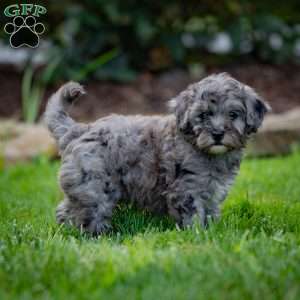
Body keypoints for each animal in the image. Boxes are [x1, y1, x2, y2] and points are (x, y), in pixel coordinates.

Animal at [45, 72, 272, 234]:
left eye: (233, 114)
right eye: (203, 115)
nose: (217, 134)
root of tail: (78, 130)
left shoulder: (212, 192)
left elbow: (210, 212)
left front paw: (213, 232)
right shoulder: (186, 190)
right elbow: (193, 215)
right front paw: (197, 236)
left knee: (66, 209)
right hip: (95, 186)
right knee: (88, 210)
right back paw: (96, 235)